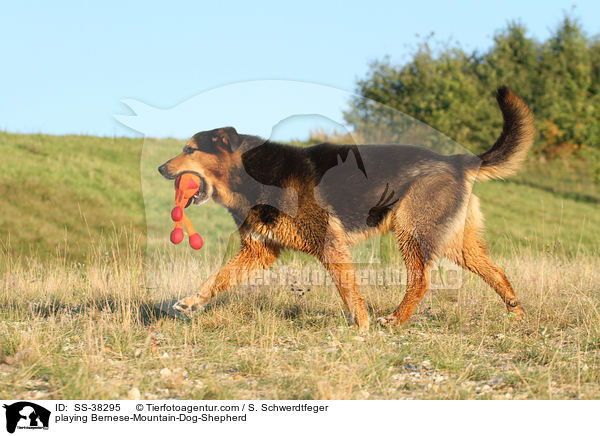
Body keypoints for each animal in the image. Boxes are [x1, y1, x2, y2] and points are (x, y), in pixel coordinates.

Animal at [158, 87, 536, 328]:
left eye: (190, 150)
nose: (160, 169)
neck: (249, 173)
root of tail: (458, 159)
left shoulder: (330, 243)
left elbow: (348, 288)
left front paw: (362, 324)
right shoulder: (258, 252)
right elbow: (215, 280)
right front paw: (191, 302)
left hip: (412, 232)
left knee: (421, 282)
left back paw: (396, 319)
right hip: (457, 243)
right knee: (497, 272)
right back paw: (516, 314)